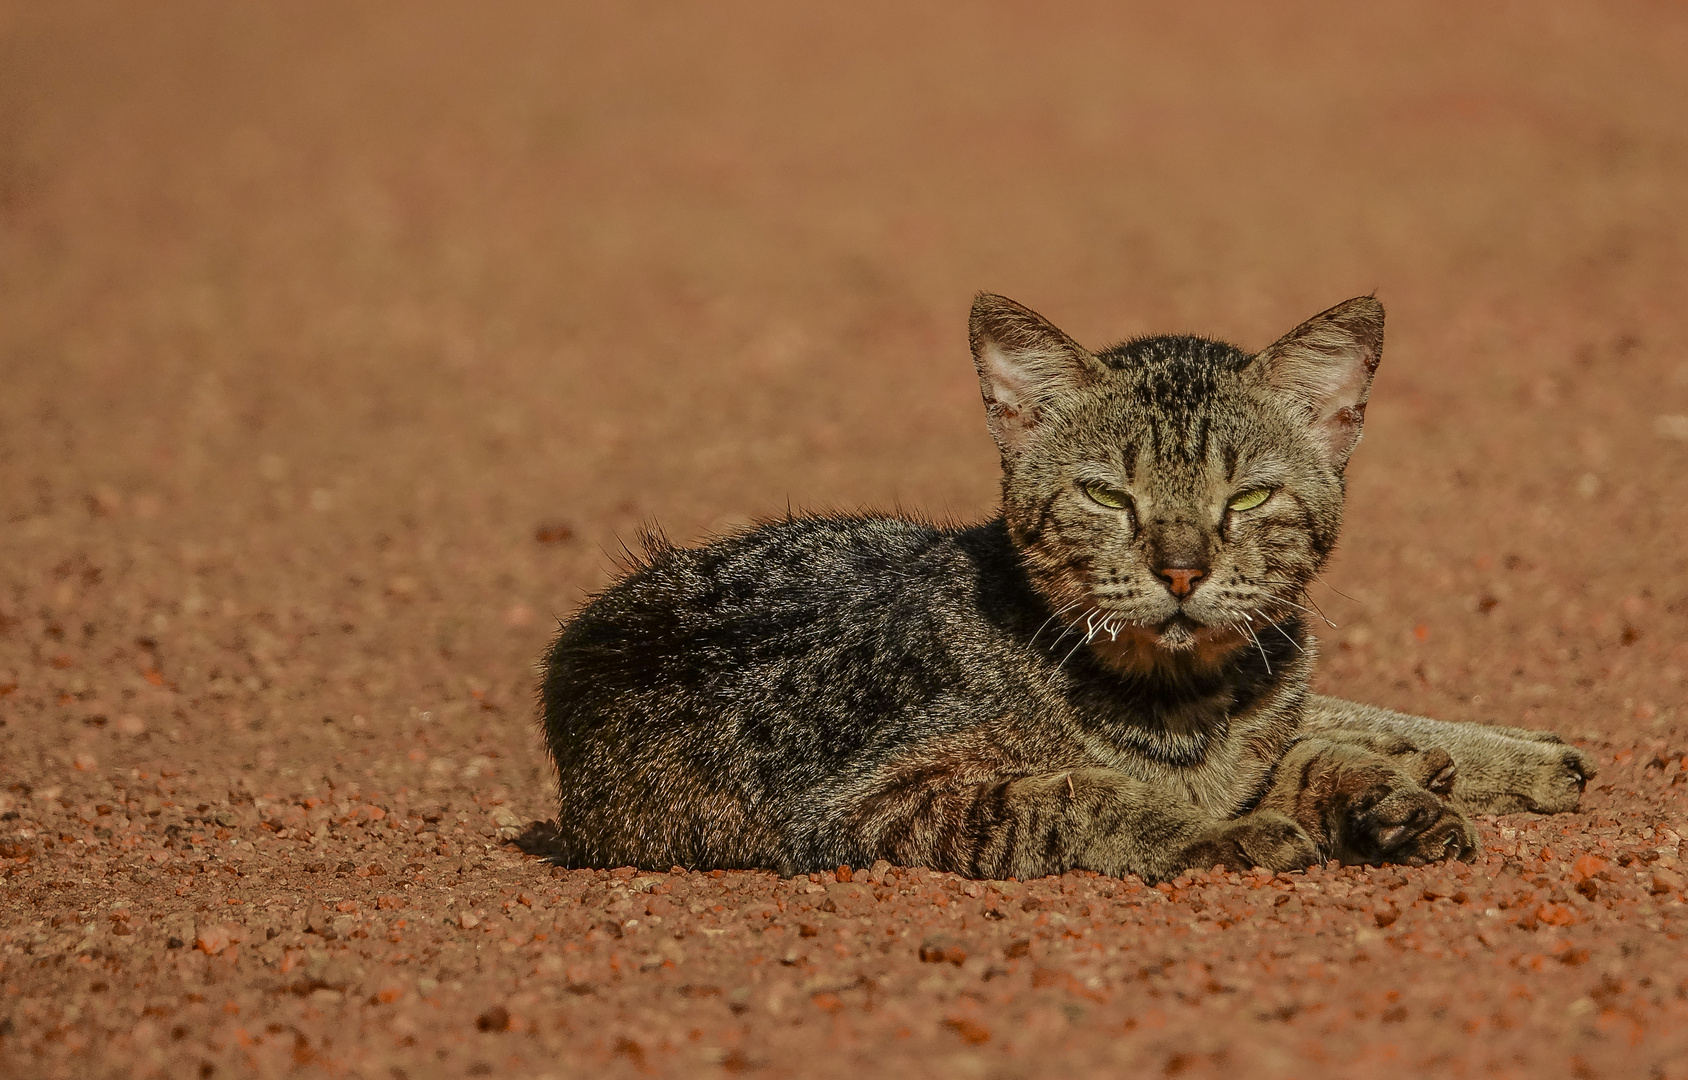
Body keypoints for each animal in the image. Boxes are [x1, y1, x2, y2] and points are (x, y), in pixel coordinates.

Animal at [536, 290, 1593, 884]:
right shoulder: (866, 807)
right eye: (1105, 495)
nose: (1181, 568)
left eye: (1249, 496)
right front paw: (1234, 831)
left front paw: (1387, 796)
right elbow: (1082, 796)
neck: (1190, 705)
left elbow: (1299, 753)